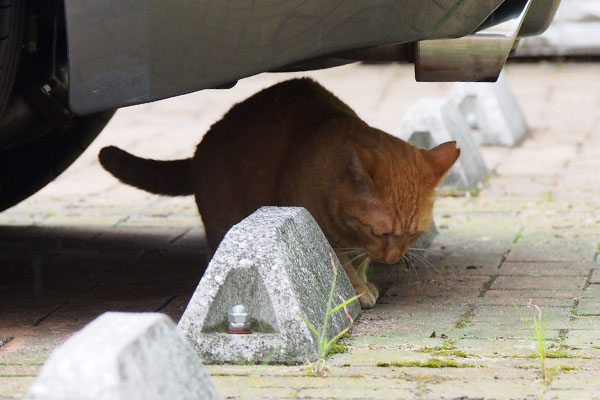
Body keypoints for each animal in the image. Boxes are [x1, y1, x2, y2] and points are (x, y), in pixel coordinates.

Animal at [98, 79, 458, 310]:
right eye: (380, 232)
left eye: (412, 235)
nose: (393, 260)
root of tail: (201, 147)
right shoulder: (321, 230)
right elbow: (340, 263)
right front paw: (357, 290)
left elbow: (360, 260)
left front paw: (365, 279)